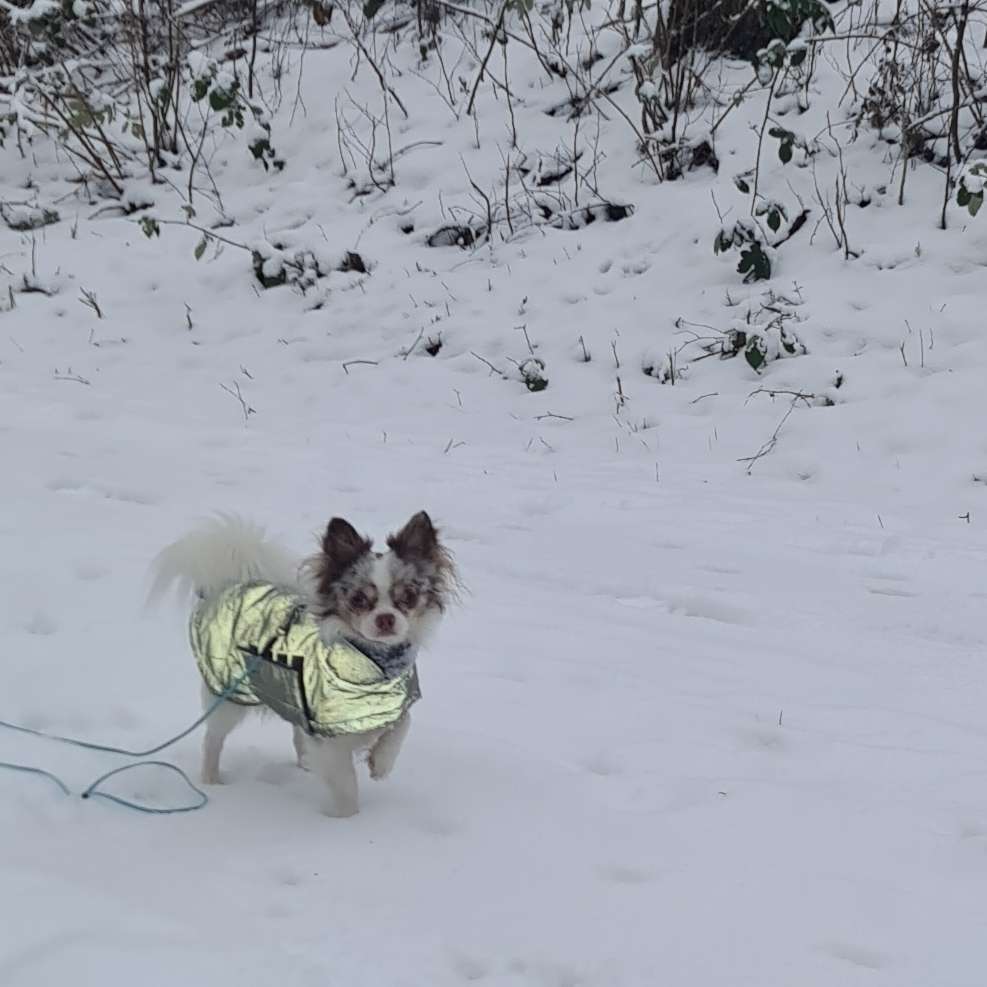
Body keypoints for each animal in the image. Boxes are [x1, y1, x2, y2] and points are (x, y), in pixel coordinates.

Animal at [151, 510, 460, 820]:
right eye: (358, 599)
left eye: (408, 596)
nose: (386, 618)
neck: (375, 663)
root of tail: (227, 583)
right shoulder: (330, 734)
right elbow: (345, 782)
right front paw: (348, 820)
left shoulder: (392, 704)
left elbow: (402, 724)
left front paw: (380, 763)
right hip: (230, 694)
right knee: (213, 739)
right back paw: (212, 781)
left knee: (298, 731)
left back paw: (306, 764)